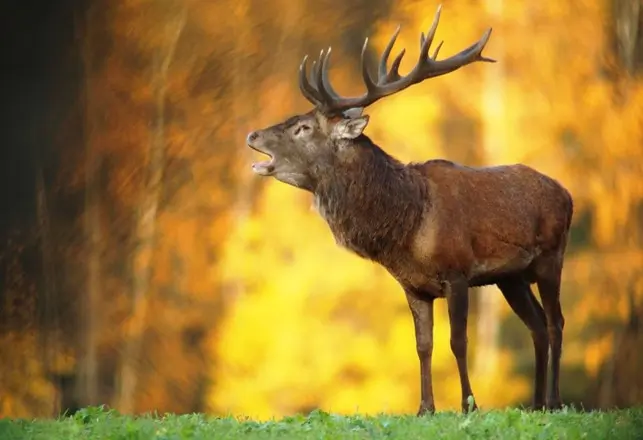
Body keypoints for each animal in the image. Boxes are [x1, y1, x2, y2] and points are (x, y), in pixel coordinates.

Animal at [245, 5, 572, 414]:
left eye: (302, 128)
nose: (252, 134)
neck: (407, 227)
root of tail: (567, 194)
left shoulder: (458, 272)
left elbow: (458, 342)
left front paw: (468, 405)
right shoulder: (413, 286)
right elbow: (423, 346)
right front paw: (425, 407)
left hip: (551, 257)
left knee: (557, 322)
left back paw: (555, 400)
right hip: (510, 277)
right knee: (538, 325)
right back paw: (537, 403)